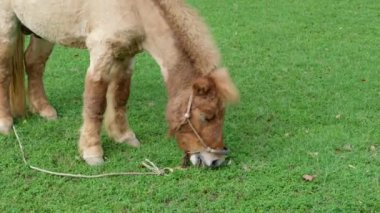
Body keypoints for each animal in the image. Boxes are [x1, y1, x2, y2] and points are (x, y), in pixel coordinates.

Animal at [0, 0, 238, 168]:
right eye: (207, 117)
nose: (216, 160)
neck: (136, 8)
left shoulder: (126, 56)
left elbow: (120, 97)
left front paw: (124, 137)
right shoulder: (100, 53)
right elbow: (96, 104)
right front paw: (92, 152)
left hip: (42, 31)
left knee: (34, 63)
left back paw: (44, 110)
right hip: (7, 27)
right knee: (5, 72)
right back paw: (5, 123)